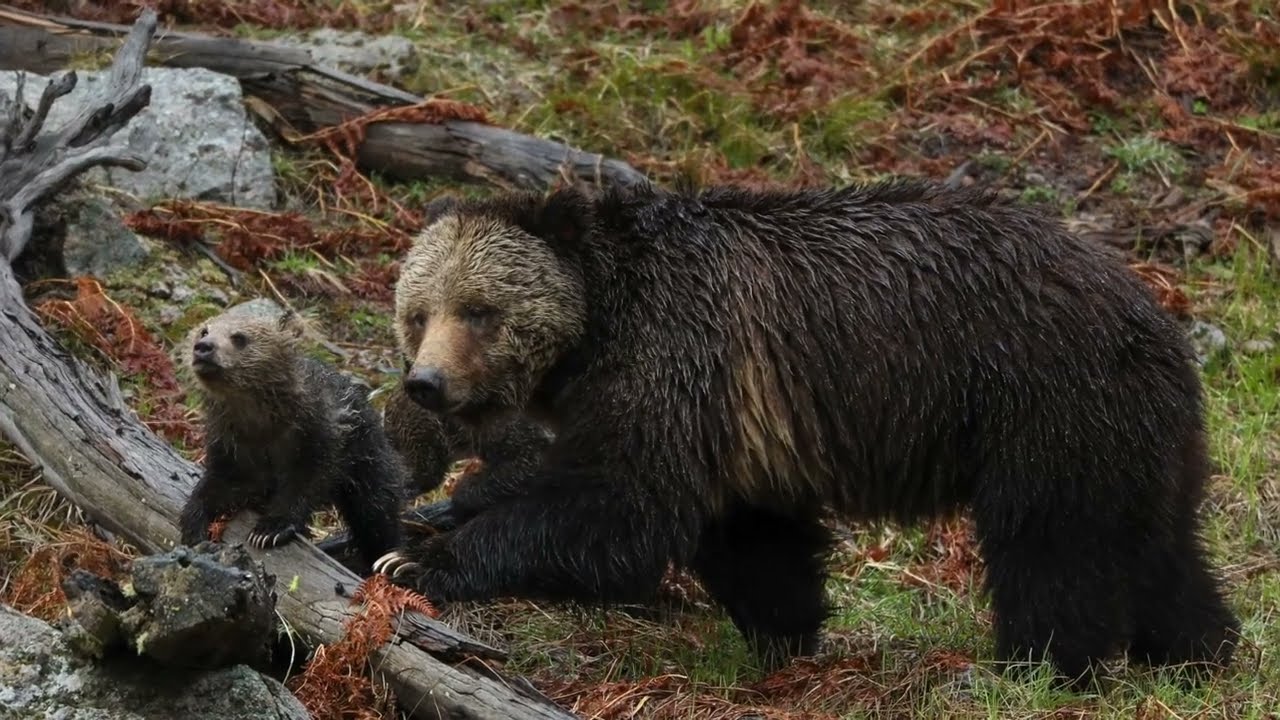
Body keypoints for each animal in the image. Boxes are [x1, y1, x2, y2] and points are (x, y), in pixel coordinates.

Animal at [178, 302, 407, 571]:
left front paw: (270, 529)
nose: (203, 348)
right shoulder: (230, 445)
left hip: (370, 464)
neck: (262, 426)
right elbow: (217, 484)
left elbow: (305, 484)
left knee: (377, 513)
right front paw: (193, 523)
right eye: (204, 330)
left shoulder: (318, 437)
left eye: (239, 337)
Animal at [372, 179, 1239, 688]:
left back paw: (1035, 668)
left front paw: (421, 555)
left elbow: (622, 507)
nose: (427, 382)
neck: (597, 324)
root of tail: (1150, 307)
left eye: (480, 310)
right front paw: (785, 633)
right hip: (1135, 433)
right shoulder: (734, 418)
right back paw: (1194, 652)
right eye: (418, 312)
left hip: (1042, 402)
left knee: (1054, 551)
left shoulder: (676, 356)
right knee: (1155, 545)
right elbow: (754, 537)